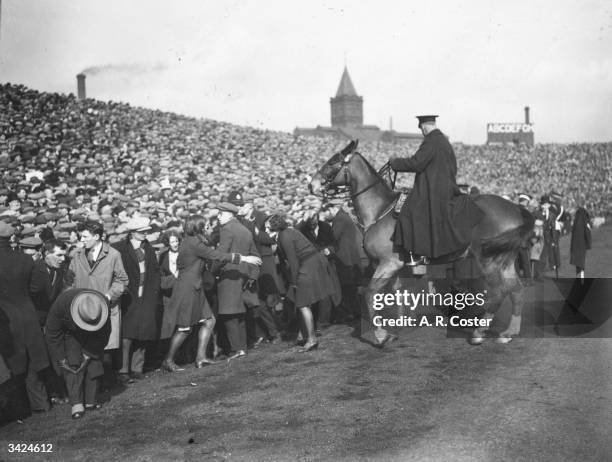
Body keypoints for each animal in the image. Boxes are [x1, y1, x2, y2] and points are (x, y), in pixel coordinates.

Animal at [308, 141, 532, 346]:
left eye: (333, 162)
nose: (312, 185)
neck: (380, 211)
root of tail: (516, 208)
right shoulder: (396, 267)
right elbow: (396, 295)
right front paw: (398, 328)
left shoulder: (388, 263)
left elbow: (371, 293)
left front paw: (381, 335)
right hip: (505, 261)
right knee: (517, 291)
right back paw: (508, 332)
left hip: (489, 261)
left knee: (498, 292)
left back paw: (479, 333)